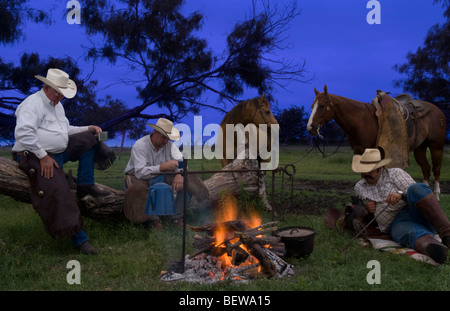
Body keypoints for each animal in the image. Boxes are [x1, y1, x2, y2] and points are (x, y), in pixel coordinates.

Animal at [306, 84, 446, 199]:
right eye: (312, 106)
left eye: (322, 106)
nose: (310, 127)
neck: (362, 120)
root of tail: (437, 110)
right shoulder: (359, 151)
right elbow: (363, 174)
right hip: (420, 148)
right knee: (426, 168)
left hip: (436, 146)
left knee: (436, 168)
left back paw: (436, 195)